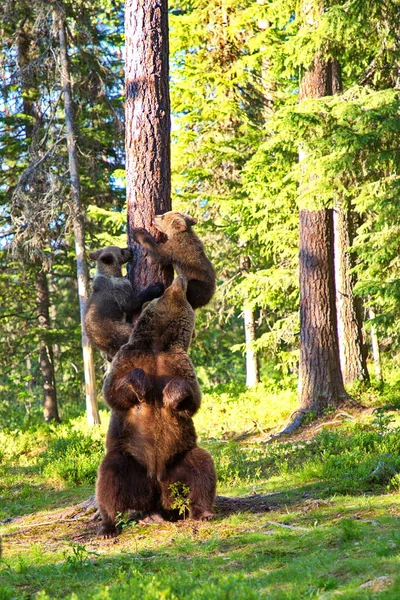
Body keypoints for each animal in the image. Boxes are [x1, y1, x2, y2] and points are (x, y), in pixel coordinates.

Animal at [96, 276, 216, 540]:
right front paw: (139, 383)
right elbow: (113, 391)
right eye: (166, 290)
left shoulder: (179, 363)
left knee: (201, 468)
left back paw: (203, 512)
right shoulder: (129, 357)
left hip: (179, 461)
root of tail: (156, 484)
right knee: (109, 478)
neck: (158, 344)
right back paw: (108, 526)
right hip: (130, 459)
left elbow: (191, 397)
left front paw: (172, 394)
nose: (181, 278)